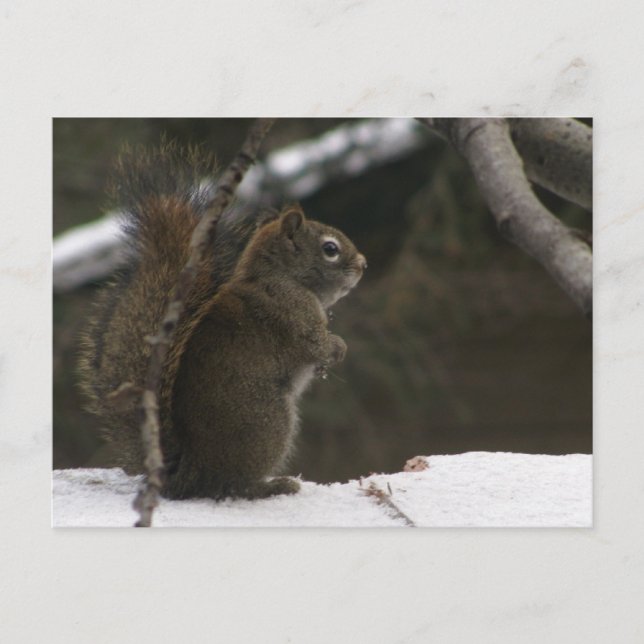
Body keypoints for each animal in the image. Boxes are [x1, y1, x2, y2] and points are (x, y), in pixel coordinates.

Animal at [78, 142, 367, 501]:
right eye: (330, 249)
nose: (363, 265)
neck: (279, 275)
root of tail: (188, 475)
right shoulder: (294, 312)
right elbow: (315, 343)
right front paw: (338, 349)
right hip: (269, 424)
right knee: (233, 485)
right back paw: (274, 485)